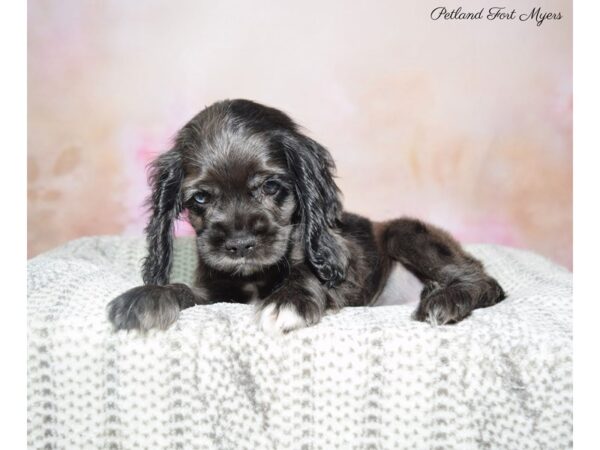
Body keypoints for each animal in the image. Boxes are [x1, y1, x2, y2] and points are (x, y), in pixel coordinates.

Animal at [105, 100, 504, 336]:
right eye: (200, 198)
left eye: (270, 186)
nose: (239, 245)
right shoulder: (216, 292)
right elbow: (184, 290)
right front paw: (146, 297)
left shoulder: (338, 272)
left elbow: (307, 273)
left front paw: (289, 300)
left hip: (404, 233)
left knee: (486, 282)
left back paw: (444, 301)